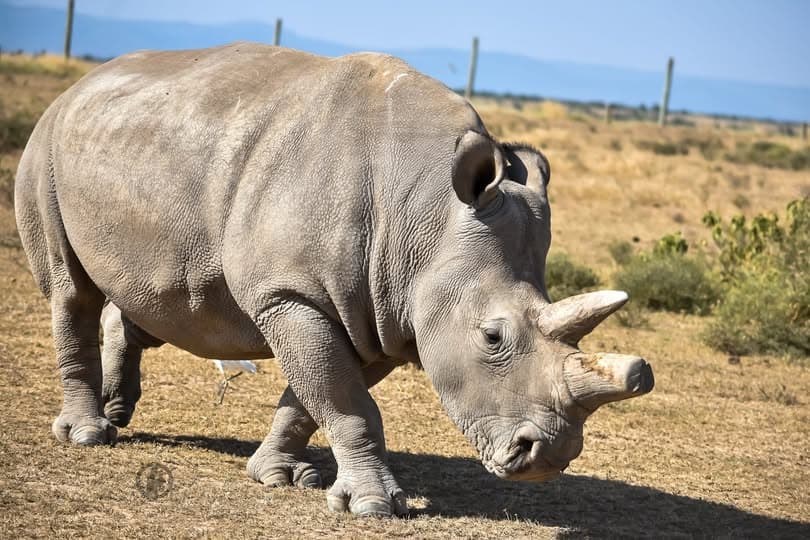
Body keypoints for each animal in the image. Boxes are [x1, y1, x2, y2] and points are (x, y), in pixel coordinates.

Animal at [15, 42, 653, 517]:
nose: (548, 455)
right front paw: (376, 507)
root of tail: (80, 84)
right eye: (492, 337)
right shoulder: (292, 294)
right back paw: (88, 435)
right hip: (45, 146)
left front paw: (278, 476)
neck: (426, 212)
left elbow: (316, 395)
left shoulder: (380, 312)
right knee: (71, 291)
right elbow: (345, 401)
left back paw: (117, 413)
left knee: (148, 302)